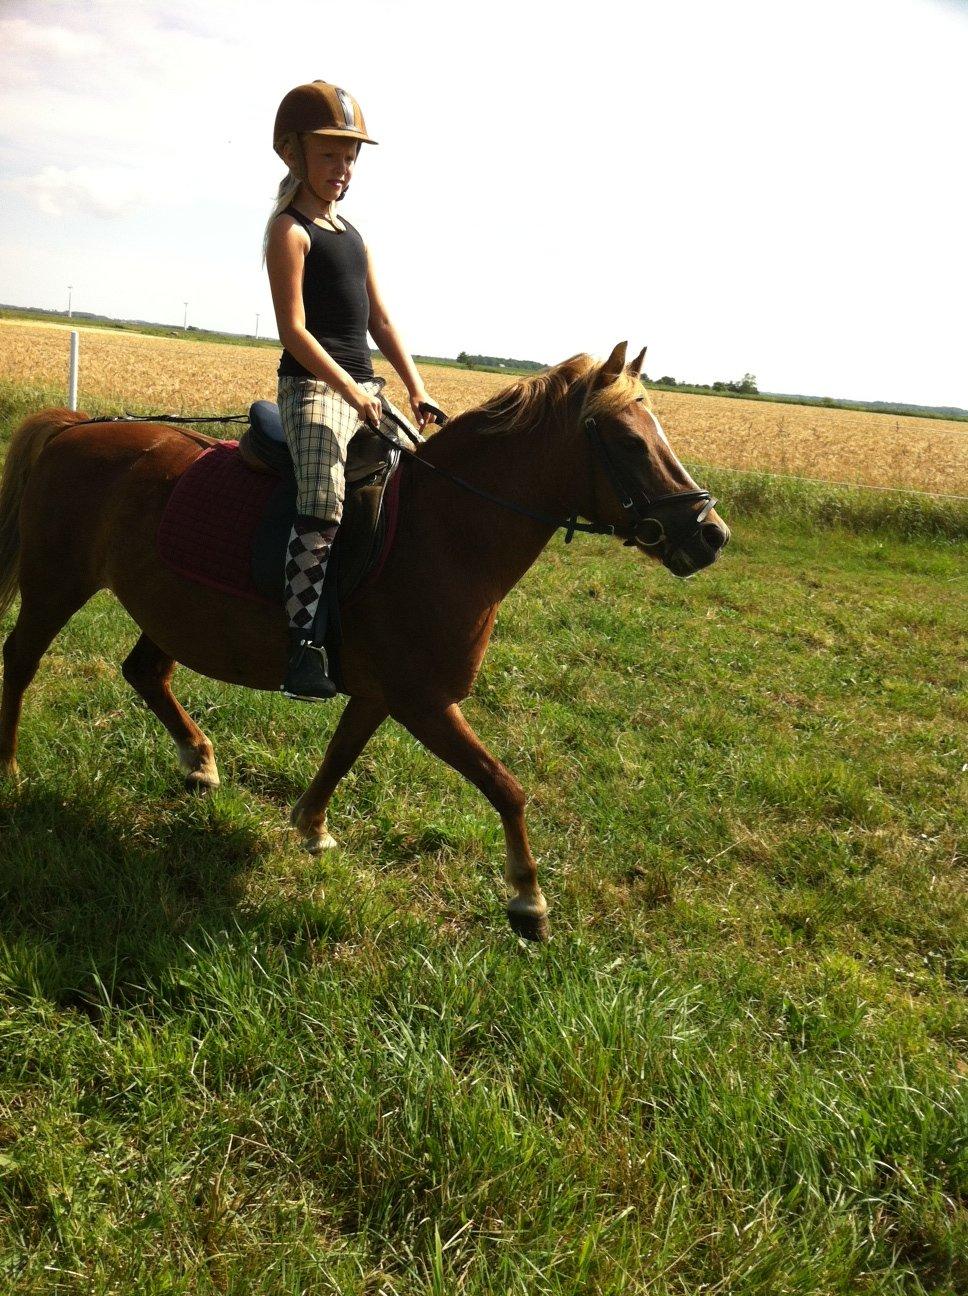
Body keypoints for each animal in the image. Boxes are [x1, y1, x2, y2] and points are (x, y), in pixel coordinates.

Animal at [0, 342, 729, 941]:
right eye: (629, 443)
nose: (710, 534)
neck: (444, 532)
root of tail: (75, 426)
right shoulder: (423, 703)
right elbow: (505, 786)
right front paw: (528, 900)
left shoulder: (381, 695)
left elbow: (341, 755)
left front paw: (313, 827)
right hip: (57, 584)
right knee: (21, 661)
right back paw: (9, 769)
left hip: (170, 611)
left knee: (145, 673)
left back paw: (199, 760)